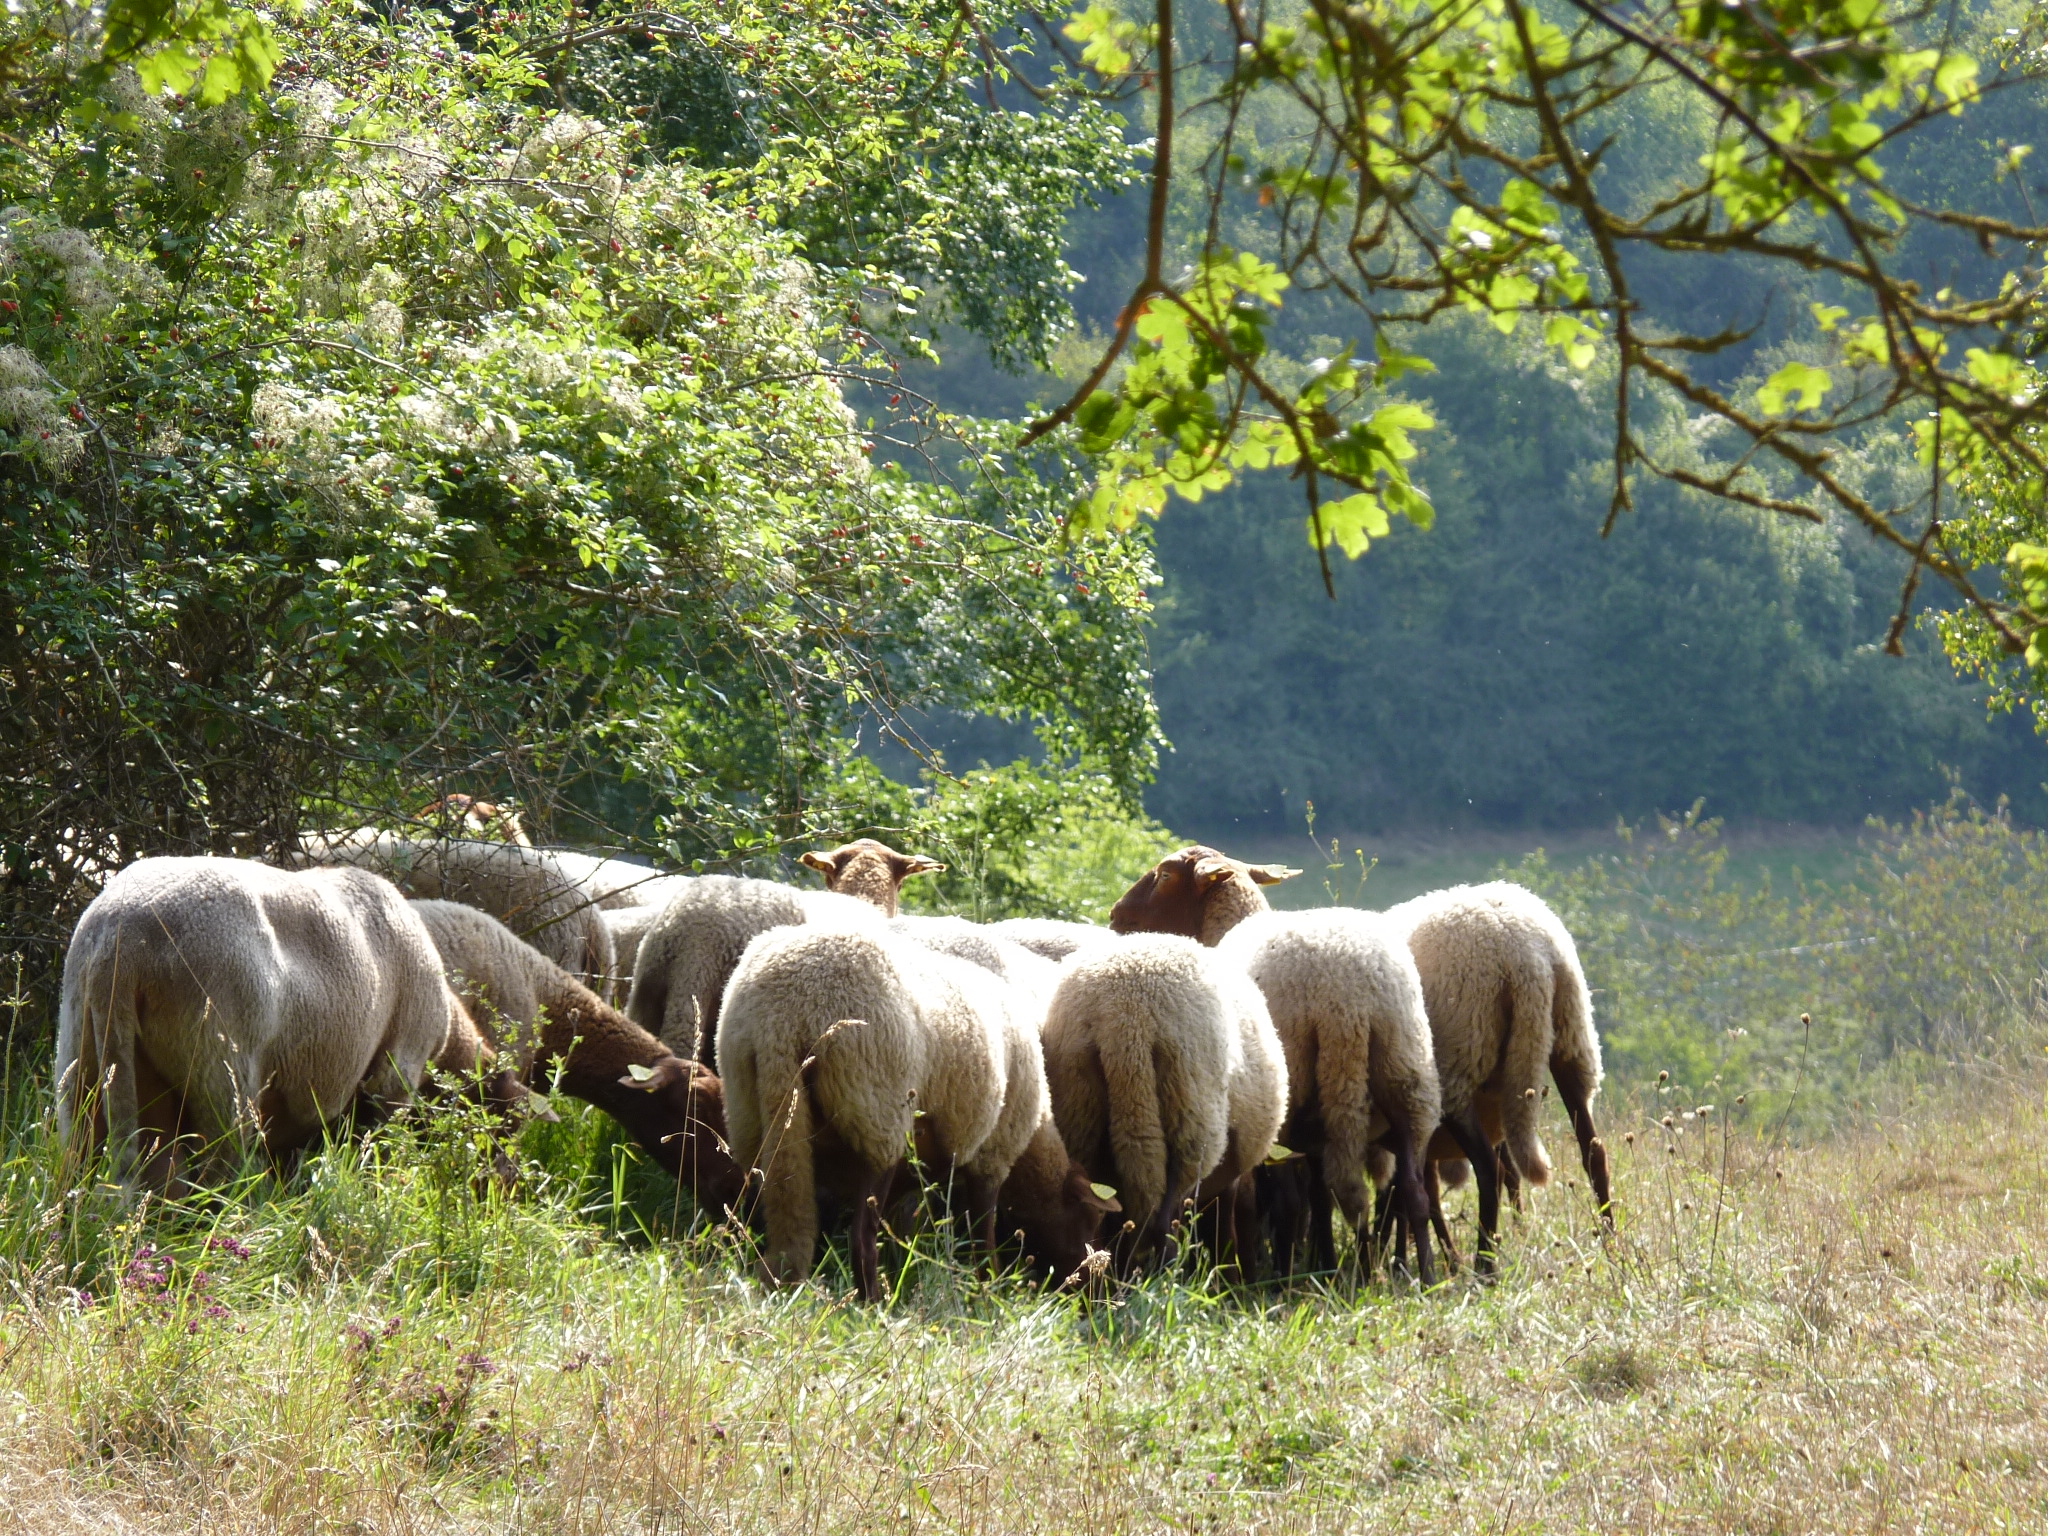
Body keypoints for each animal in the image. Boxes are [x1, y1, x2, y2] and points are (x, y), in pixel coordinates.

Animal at [58, 860, 475, 1187]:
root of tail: (120, 944)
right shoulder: (396, 1068)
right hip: (220, 1062)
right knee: (214, 1171)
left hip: (85, 1054)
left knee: (91, 1161)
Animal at [1105, 847, 1441, 1277]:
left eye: (1164, 875)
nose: (1115, 915)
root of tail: (1349, 997)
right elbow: (1318, 1195)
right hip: (1405, 1077)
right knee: (1411, 1192)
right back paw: (1417, 1276)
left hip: (1295, 1092)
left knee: (1296, 1200)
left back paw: (1289, 1275)